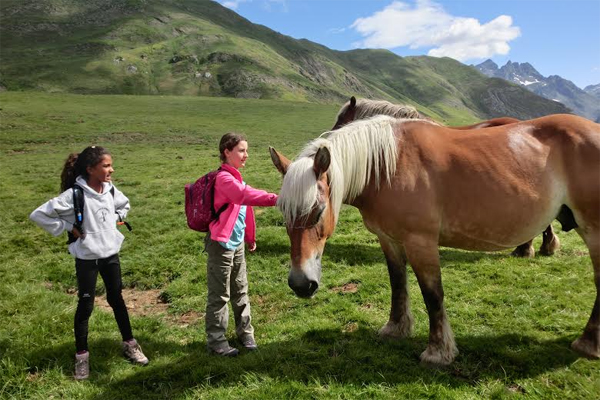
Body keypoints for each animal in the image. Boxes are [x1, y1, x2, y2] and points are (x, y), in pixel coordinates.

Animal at [270, 112, 600, 366]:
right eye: (283, 212)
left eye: (317, 211)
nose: (301, 284)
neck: (390, 165)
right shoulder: (390, 240)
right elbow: (398, 284)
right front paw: (395, 328)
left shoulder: (421, 242)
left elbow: (433, 295)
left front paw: (438, 352)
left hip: (594, 231)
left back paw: (587, 343)